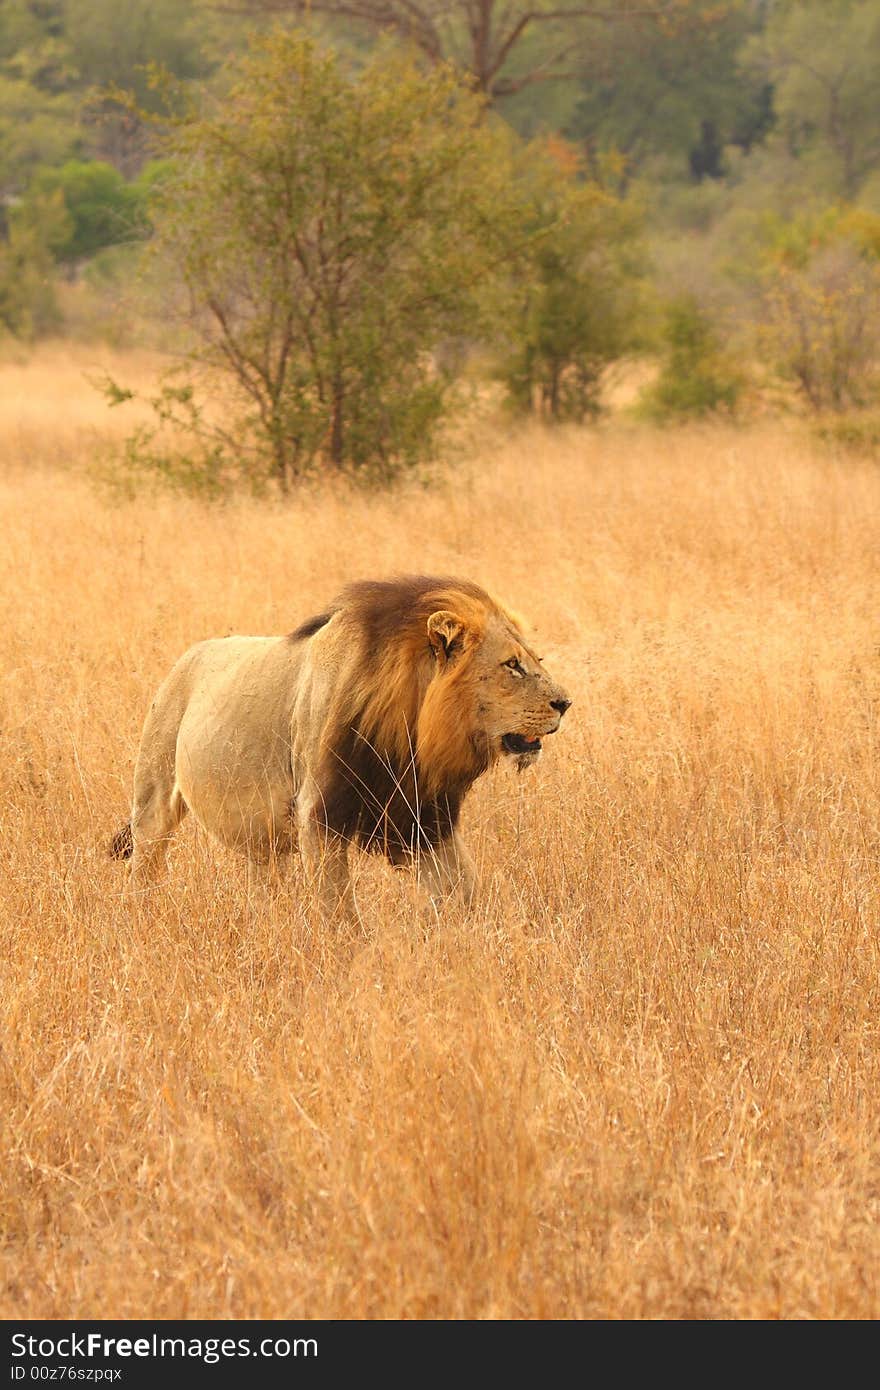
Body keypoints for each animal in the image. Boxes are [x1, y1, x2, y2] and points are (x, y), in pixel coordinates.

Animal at [111, 572, 569, 911]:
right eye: (512, 665)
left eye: (537, 660)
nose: (565, 703)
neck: (408, 731)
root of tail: (187, 655)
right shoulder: (318, 814)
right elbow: (339, 914)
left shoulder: (423, 818)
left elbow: (466, 890)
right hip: (153, 798)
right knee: (144, 863)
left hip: (261, 841)